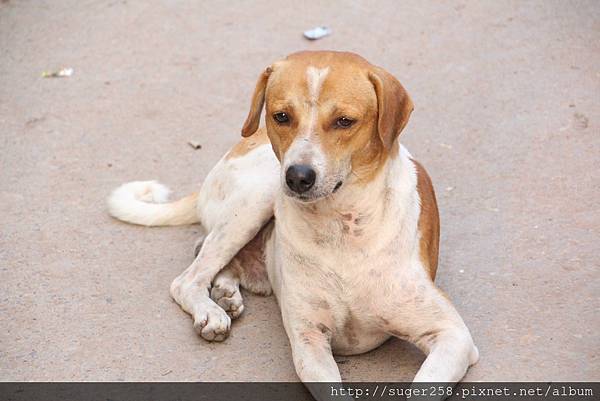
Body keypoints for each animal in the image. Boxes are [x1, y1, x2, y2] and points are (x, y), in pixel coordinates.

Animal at [106, 50, 478, 396]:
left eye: (345, 121)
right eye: (282, 116)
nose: (298, 176)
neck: (341, 227)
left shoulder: (454, 337)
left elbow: (423, 384)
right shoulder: (308, 340)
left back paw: (227, 289)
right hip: (255, 198)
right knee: (188, 276)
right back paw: (210, 309)